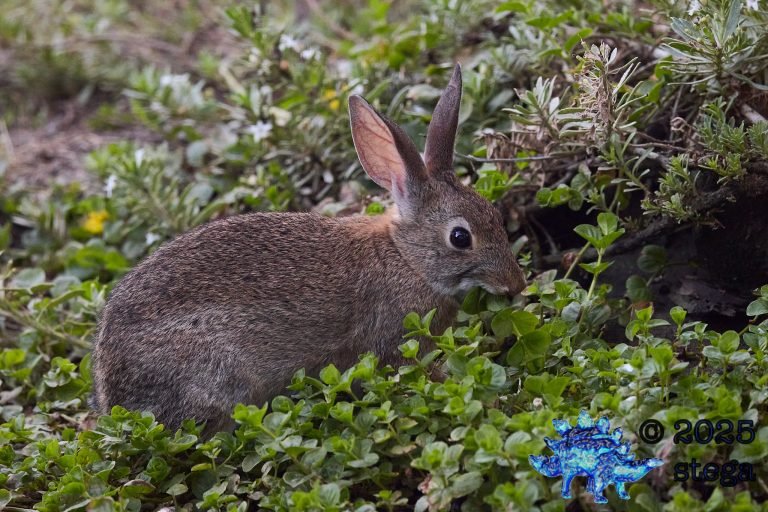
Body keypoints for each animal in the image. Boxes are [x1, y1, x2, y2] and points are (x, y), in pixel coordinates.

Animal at [90, 64, 526, 436]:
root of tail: (115, 393)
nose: (515, 284)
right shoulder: (394, 340)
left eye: (495, 213)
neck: (405, 257)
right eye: (460, 238)